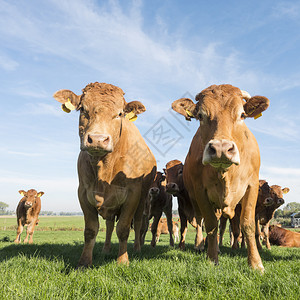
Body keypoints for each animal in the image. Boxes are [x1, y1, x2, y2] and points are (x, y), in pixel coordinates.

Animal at [53, 82, 156, 268]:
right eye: (83, 109)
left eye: (120, 113)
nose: (98, 139)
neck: (104, 168)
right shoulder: (83, 192)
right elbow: (91, 230)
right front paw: (84, 262)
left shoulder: (133, 194)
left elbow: (123, 228)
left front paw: (123, 261)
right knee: (108, 225)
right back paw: (106, 249)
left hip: (143, 199)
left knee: (138, 224)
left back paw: (137, 248)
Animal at [171, 84, 270, 272]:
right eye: (200, 116)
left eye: (242, 115)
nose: (221, 149)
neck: (226, 174)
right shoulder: (200, 191)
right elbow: (210, 224)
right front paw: (212, 259)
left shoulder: (252, 186)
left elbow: (247, 224)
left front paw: (256, 263)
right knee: (203, 222)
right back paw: (203, 246)